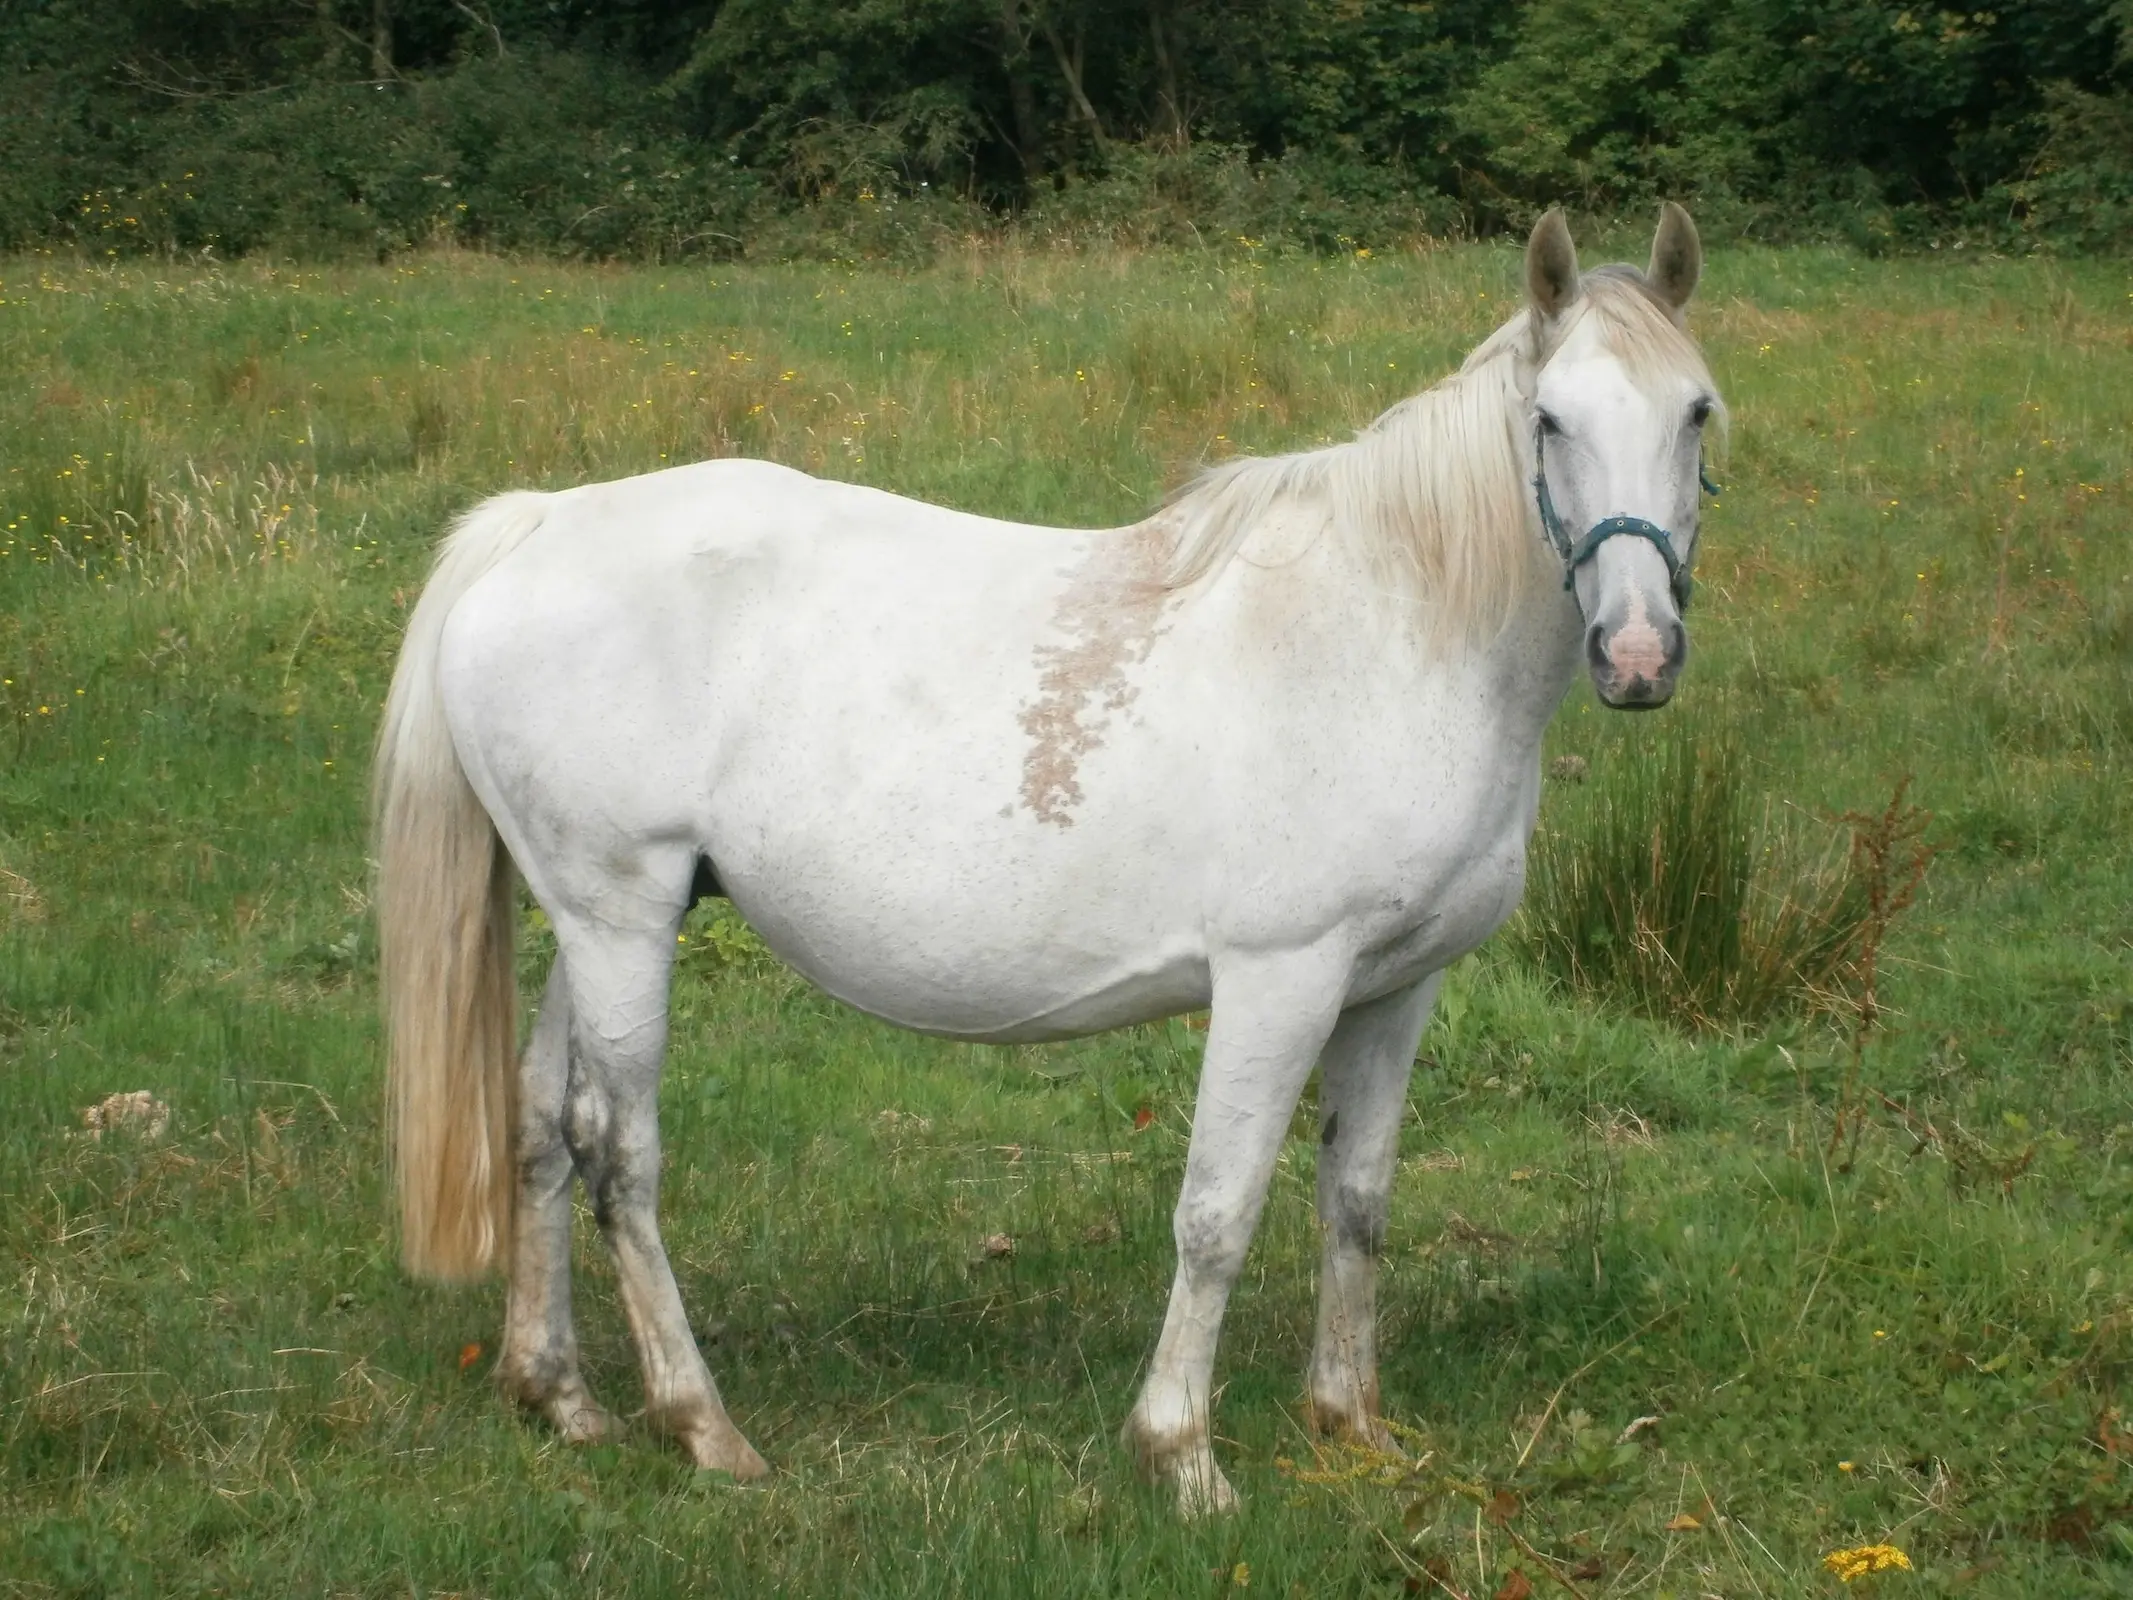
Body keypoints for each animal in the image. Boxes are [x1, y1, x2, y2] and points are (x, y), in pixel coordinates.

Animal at [379, 203, 1714, 1518]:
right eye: (1551, 419)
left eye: (1698, 411)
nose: (1638, 655)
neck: (1394, 627)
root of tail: (538, 523)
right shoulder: (1280, 978)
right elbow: (1217, 1213)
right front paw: (1182, 1455)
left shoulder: (1395, 988)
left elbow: (1358, 1199)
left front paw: (1349, 1424)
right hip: (619, 917)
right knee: (618, 1152)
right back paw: (701, 1423)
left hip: (604, 919)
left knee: (541, 1126)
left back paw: (559, 1393)